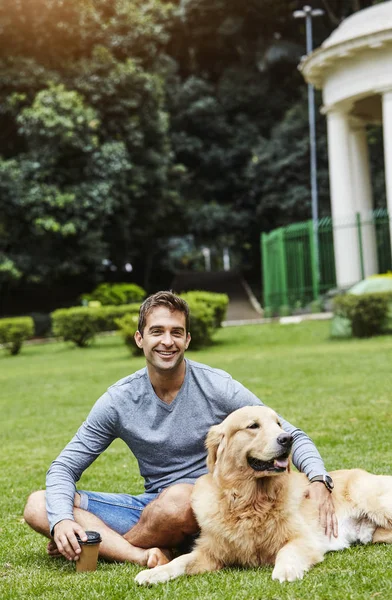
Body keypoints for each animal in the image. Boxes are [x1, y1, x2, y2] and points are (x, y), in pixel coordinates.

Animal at [135, 406, 392, 584]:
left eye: (278, 423)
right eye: (253, 426)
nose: (287, 438)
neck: (250, 501)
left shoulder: (304, 538)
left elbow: (287, 550)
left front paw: (286, 570)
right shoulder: (210, 552)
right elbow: (180, 560)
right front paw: (153, 573)